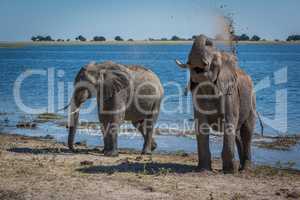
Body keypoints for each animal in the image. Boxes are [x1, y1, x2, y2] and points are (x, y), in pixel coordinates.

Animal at [176, 35, 255, 173]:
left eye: (214, 62)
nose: (206, 39)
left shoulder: (230, 93)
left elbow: (229, 121)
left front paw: (229, 172)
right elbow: (201, 124)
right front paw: (203, 170)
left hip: (252, 102)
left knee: (247, 132)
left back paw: (244, 169)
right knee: (237, 134)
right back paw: (239, 168)